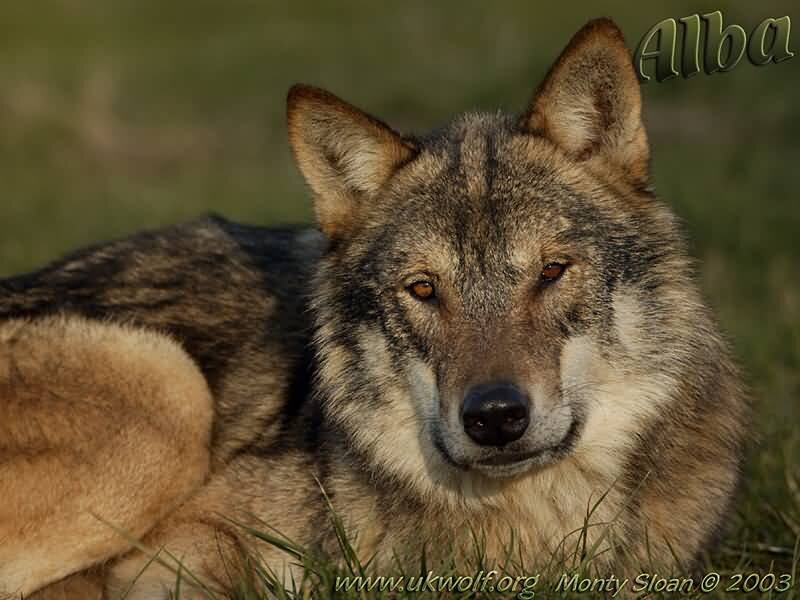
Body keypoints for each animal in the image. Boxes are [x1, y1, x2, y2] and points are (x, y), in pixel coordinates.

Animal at [0, 18, 749, 599]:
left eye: (551, 272)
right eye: (423, 289)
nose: (495, 417)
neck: (520, 536)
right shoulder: (185, 539)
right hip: (168, 390)